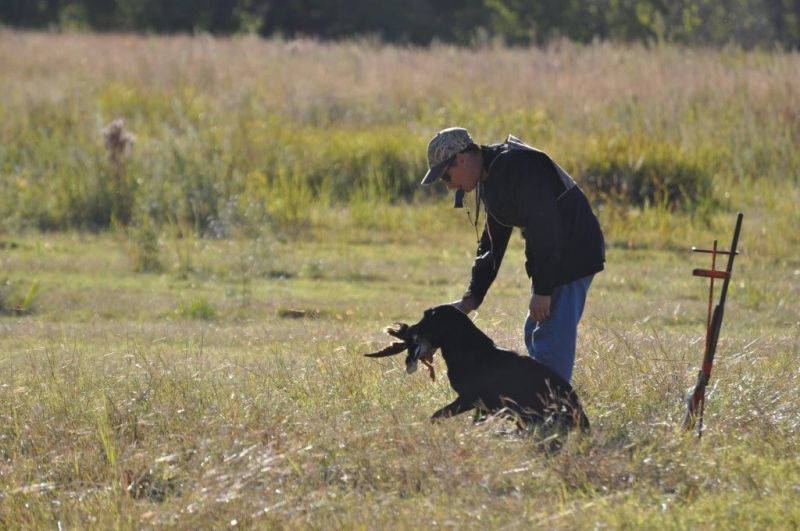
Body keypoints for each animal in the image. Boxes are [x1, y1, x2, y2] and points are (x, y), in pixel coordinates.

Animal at [366, 306, 592, 434]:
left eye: (427, 318)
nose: (408, 330)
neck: (468, 349)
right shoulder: (480, 406)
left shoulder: (470, 399)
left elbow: (438, 415)